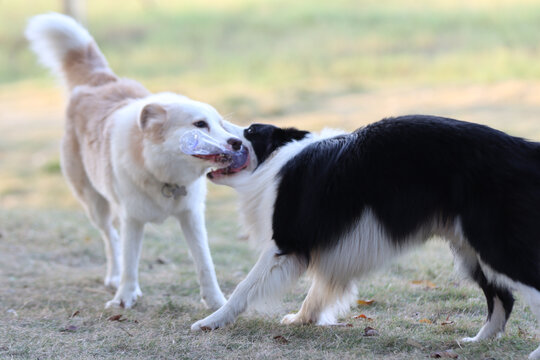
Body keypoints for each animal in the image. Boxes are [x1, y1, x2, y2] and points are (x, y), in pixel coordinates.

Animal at [25, 13, 240, 310]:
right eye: (200, 124)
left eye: (221, 124)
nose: (237, 142)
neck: (163, 175)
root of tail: (101, 81)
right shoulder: (132, 218)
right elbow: (129, 261)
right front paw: (124, 297)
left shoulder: (192, 216)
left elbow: (205, 263)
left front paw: (217, 302)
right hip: (95, 204)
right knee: (111, 239)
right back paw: (114, 277)